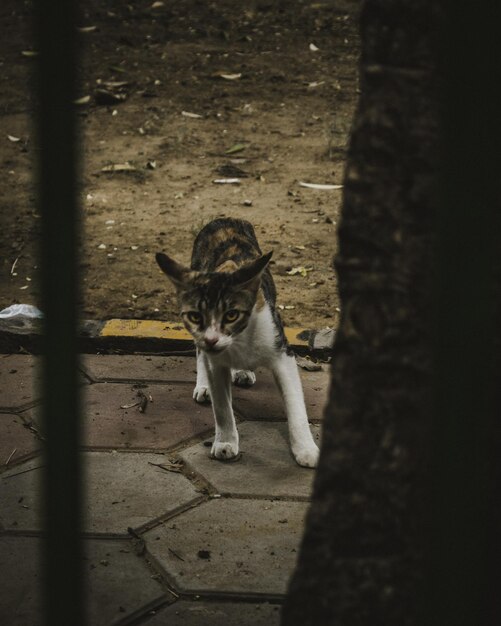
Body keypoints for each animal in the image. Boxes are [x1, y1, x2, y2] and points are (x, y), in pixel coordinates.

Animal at [156, 217, 318, 466]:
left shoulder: (282, 354)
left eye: (231, 315)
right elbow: (222, 406)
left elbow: (295, 405)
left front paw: (306, 449)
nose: (212, 340)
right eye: (196, 317)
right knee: (200, 354)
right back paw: (204, 385)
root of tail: (224, 219)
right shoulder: (215, 361)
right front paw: (225, 442)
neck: (237, 340)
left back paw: (242, 371)